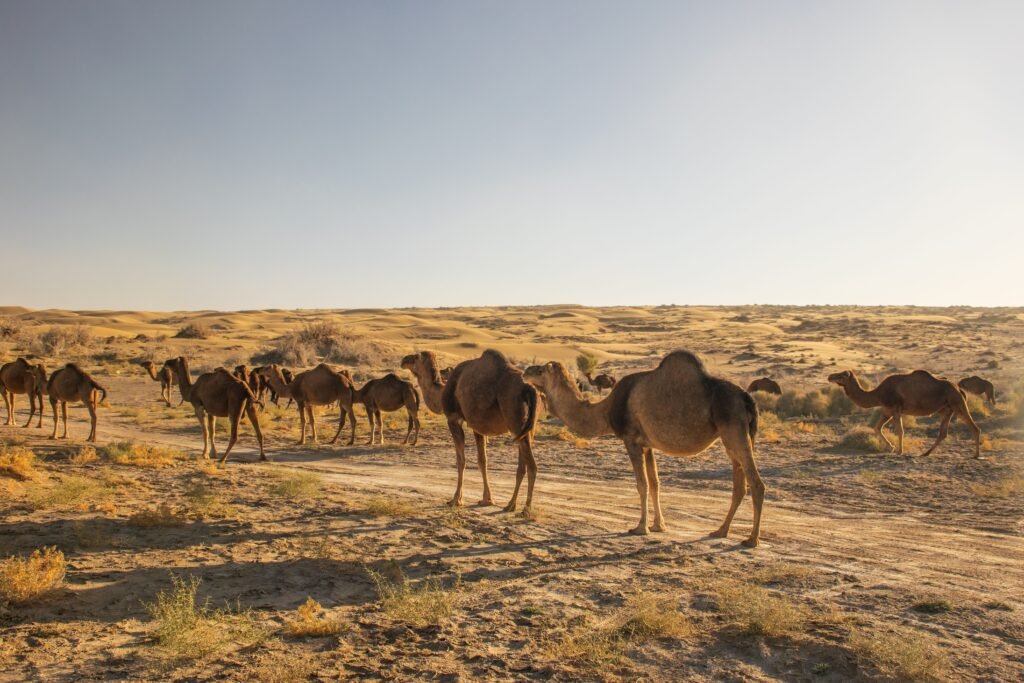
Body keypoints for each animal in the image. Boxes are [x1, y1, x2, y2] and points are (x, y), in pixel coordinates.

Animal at [404, 349, 538, 511]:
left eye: (416, 356)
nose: (403, 360)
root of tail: (528, 388)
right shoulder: (478, 427)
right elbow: (482, 461)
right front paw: (487, 499)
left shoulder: (453, 419)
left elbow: (461, 460)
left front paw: (456, 500)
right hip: (526, 429)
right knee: (522, 466)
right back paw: (510, 505)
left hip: (516, 421)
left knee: (532, 466)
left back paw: (526, 509)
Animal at [525, 351, 765, 546]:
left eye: (540, 369)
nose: (525, 371)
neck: (605, 410)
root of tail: (747, 398)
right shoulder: (648, 445)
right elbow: (655, 482)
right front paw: (659, 525)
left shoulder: (631, 440)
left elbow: (642, 484)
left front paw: (641, 527)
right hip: (732, 435)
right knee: (739, 484)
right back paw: (721, 531)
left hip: (734, 430)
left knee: (756, 483)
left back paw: (752, 539)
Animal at [828, 370, 981, 458]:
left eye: (842, 375)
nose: (829, 376)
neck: (878, 394)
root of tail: (959, 389)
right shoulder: (887, 410)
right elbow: (877, 428)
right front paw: (891, 448)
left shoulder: (895, 408)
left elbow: (900, 430)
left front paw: (899, 451)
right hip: (947, 409)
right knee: (943, 433)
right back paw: (925, 453)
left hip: (958, 404)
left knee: (974, 427)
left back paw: (976, 455)